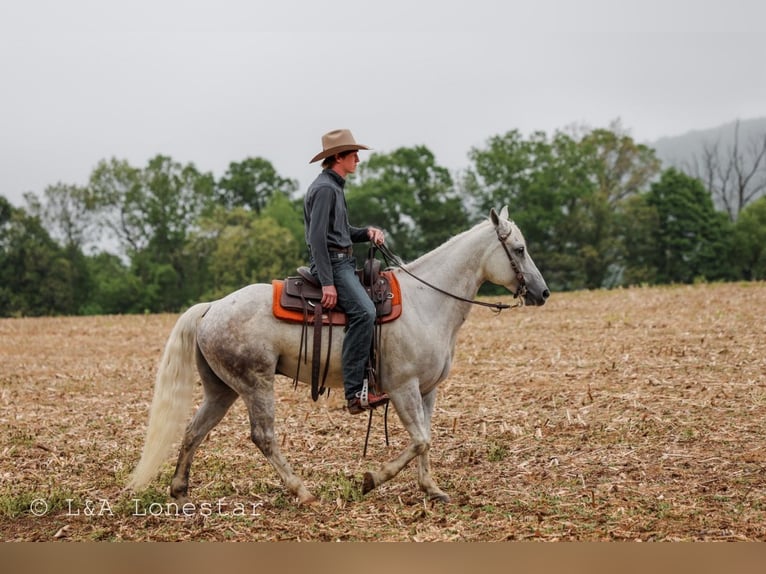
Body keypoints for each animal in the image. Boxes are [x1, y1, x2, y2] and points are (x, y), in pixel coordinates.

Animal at [127, 206, 549, 504]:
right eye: (519, 249)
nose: (542, 293)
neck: (426, 300)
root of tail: (211, 308)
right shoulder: (402, 388)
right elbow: (418, 441)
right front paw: (371, 479)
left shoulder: (426, 390)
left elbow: (425, 438)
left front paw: (431, 489)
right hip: (255, 384)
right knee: (263, 436)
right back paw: (302, 491)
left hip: (222, 390)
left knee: (194, 430)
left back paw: (180, 490)